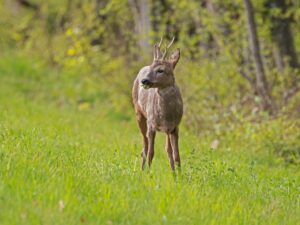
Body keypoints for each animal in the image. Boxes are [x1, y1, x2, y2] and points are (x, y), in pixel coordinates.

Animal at [133, 37, 183, 170]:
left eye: (161, 70)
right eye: (151, 68)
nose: (144, 80)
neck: (166, 115)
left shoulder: (175, 127)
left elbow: (176, 155)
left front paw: (179, 174)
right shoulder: (151, 124)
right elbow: (151, 152)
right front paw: (148, 173)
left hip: (167, 130)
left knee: (167, 149)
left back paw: (172, 172)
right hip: (139, 114)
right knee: (144, 148)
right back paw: (141, 170)